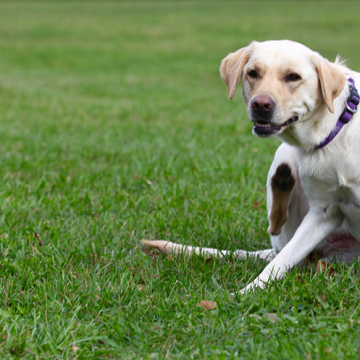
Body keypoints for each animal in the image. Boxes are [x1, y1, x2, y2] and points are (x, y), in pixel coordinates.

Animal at [141, 40, 360, 292]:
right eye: (253, 73)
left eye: (293, 77)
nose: (261, 104)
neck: (335, 129)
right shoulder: (322, 213)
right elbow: (278, 264)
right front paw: (245, 293)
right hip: (284, 163)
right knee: (278, 238)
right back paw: (282, 180)